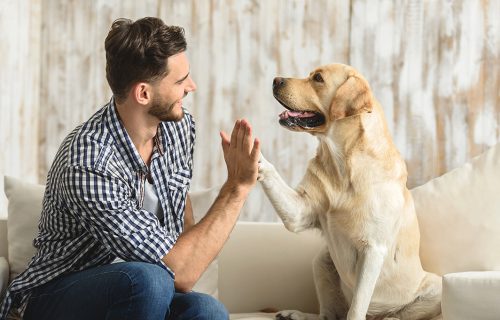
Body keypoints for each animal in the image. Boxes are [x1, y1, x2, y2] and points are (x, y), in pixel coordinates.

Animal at [258, 63, 442, 318]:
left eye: (318, 78)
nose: (276, 80)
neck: (342, 163)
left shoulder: (373, 249)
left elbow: (355, 309)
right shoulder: (300, 212)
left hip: (435, 287)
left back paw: (389, 317)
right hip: (321, 261)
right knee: (327, 315)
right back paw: (295, 314)